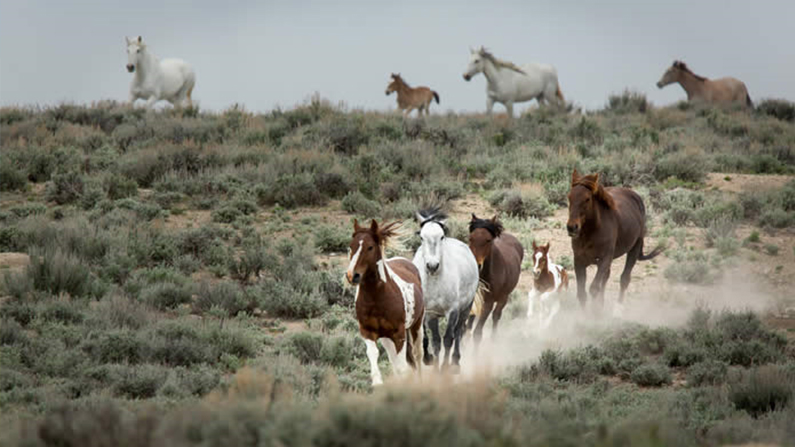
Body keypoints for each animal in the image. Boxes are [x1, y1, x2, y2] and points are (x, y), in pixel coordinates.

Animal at [346, 219, 425, 386]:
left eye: (370, 247)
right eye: (351, 246)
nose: (352, 275)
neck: (377, 298)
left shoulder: (399, 333)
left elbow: (403, 366)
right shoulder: (368, 331)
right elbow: (373, 353)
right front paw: (377, 382)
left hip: (417, 325)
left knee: (417, 353)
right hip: (386, 338)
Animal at [412, 207, 480, 373]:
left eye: (442, 236)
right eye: (421, 237)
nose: (432, 266)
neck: (436, 283)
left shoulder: (452, 311)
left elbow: (448, 338)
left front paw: (444, 368)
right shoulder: (430, 313)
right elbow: (435, 341)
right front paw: (435, 366)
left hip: (466, 308)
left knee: (458, 332)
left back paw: (455, 362)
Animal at [466, 214, 523, 346]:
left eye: (488, 240)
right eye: (470, 238)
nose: (476, 265)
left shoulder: (488, 303)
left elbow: (477, 333)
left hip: (503, 298)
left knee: (496, 316)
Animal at [566, 170, 663, 315]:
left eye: (587, 199)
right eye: (569, 197)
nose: (572, 227)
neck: (591, 232)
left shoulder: (604, 260)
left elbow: (594, 288)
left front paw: (594, 314)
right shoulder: (579, 261)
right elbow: (582, 293)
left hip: (634, 249)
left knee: (624, 278)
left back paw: (618, 309)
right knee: (607, 278)